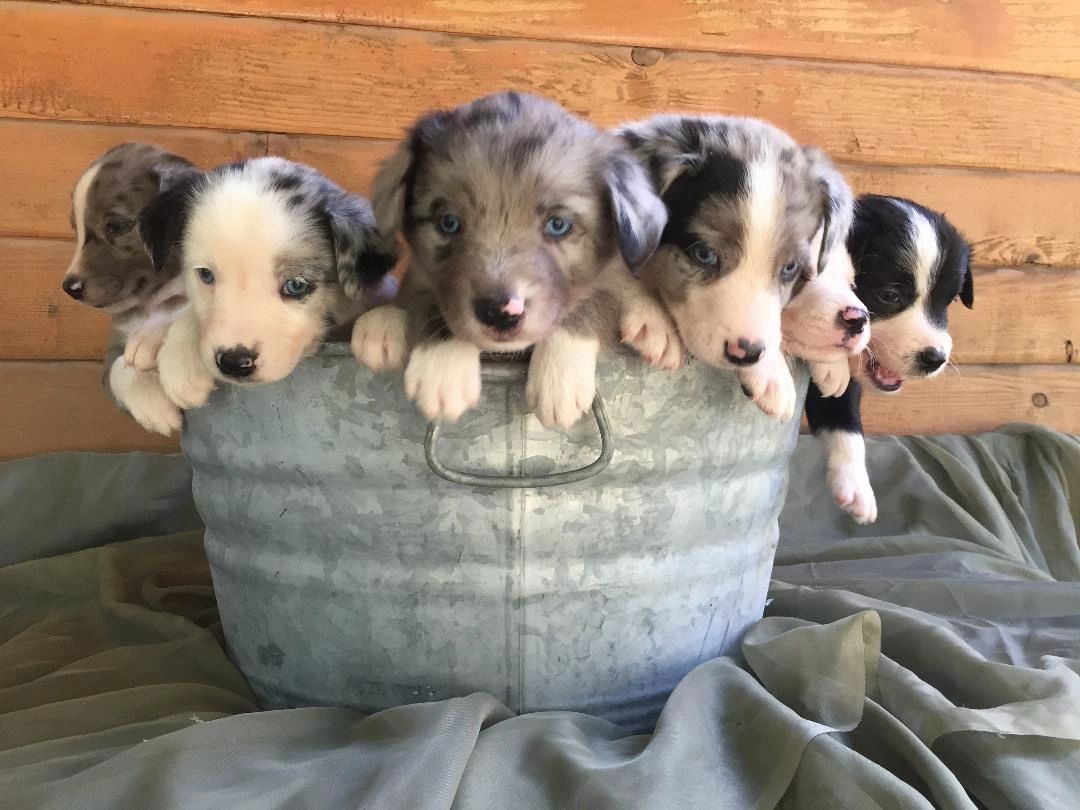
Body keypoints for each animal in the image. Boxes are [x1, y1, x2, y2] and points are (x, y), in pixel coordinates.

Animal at [61, 145, 200, 438]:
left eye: (116, 225)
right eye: (76, 229)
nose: (69, 288)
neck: (155, 303)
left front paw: (180, 371)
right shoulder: (113, 350)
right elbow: (120, 366)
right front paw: (154, 406)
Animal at [352, 94, 673, 432]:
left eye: (558, 225)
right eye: (448, 223)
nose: (501, 313)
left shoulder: (606, 275)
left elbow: (595, 299)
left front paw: (559, 379)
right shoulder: (418, 276)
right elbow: (428, 302)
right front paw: (442, 367)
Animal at [807, 196, 976, 527]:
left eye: (948, 301)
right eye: (889, 295)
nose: (935, 358)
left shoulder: (841, 393)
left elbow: (845, 421)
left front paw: (856, 489)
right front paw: (829, 363)